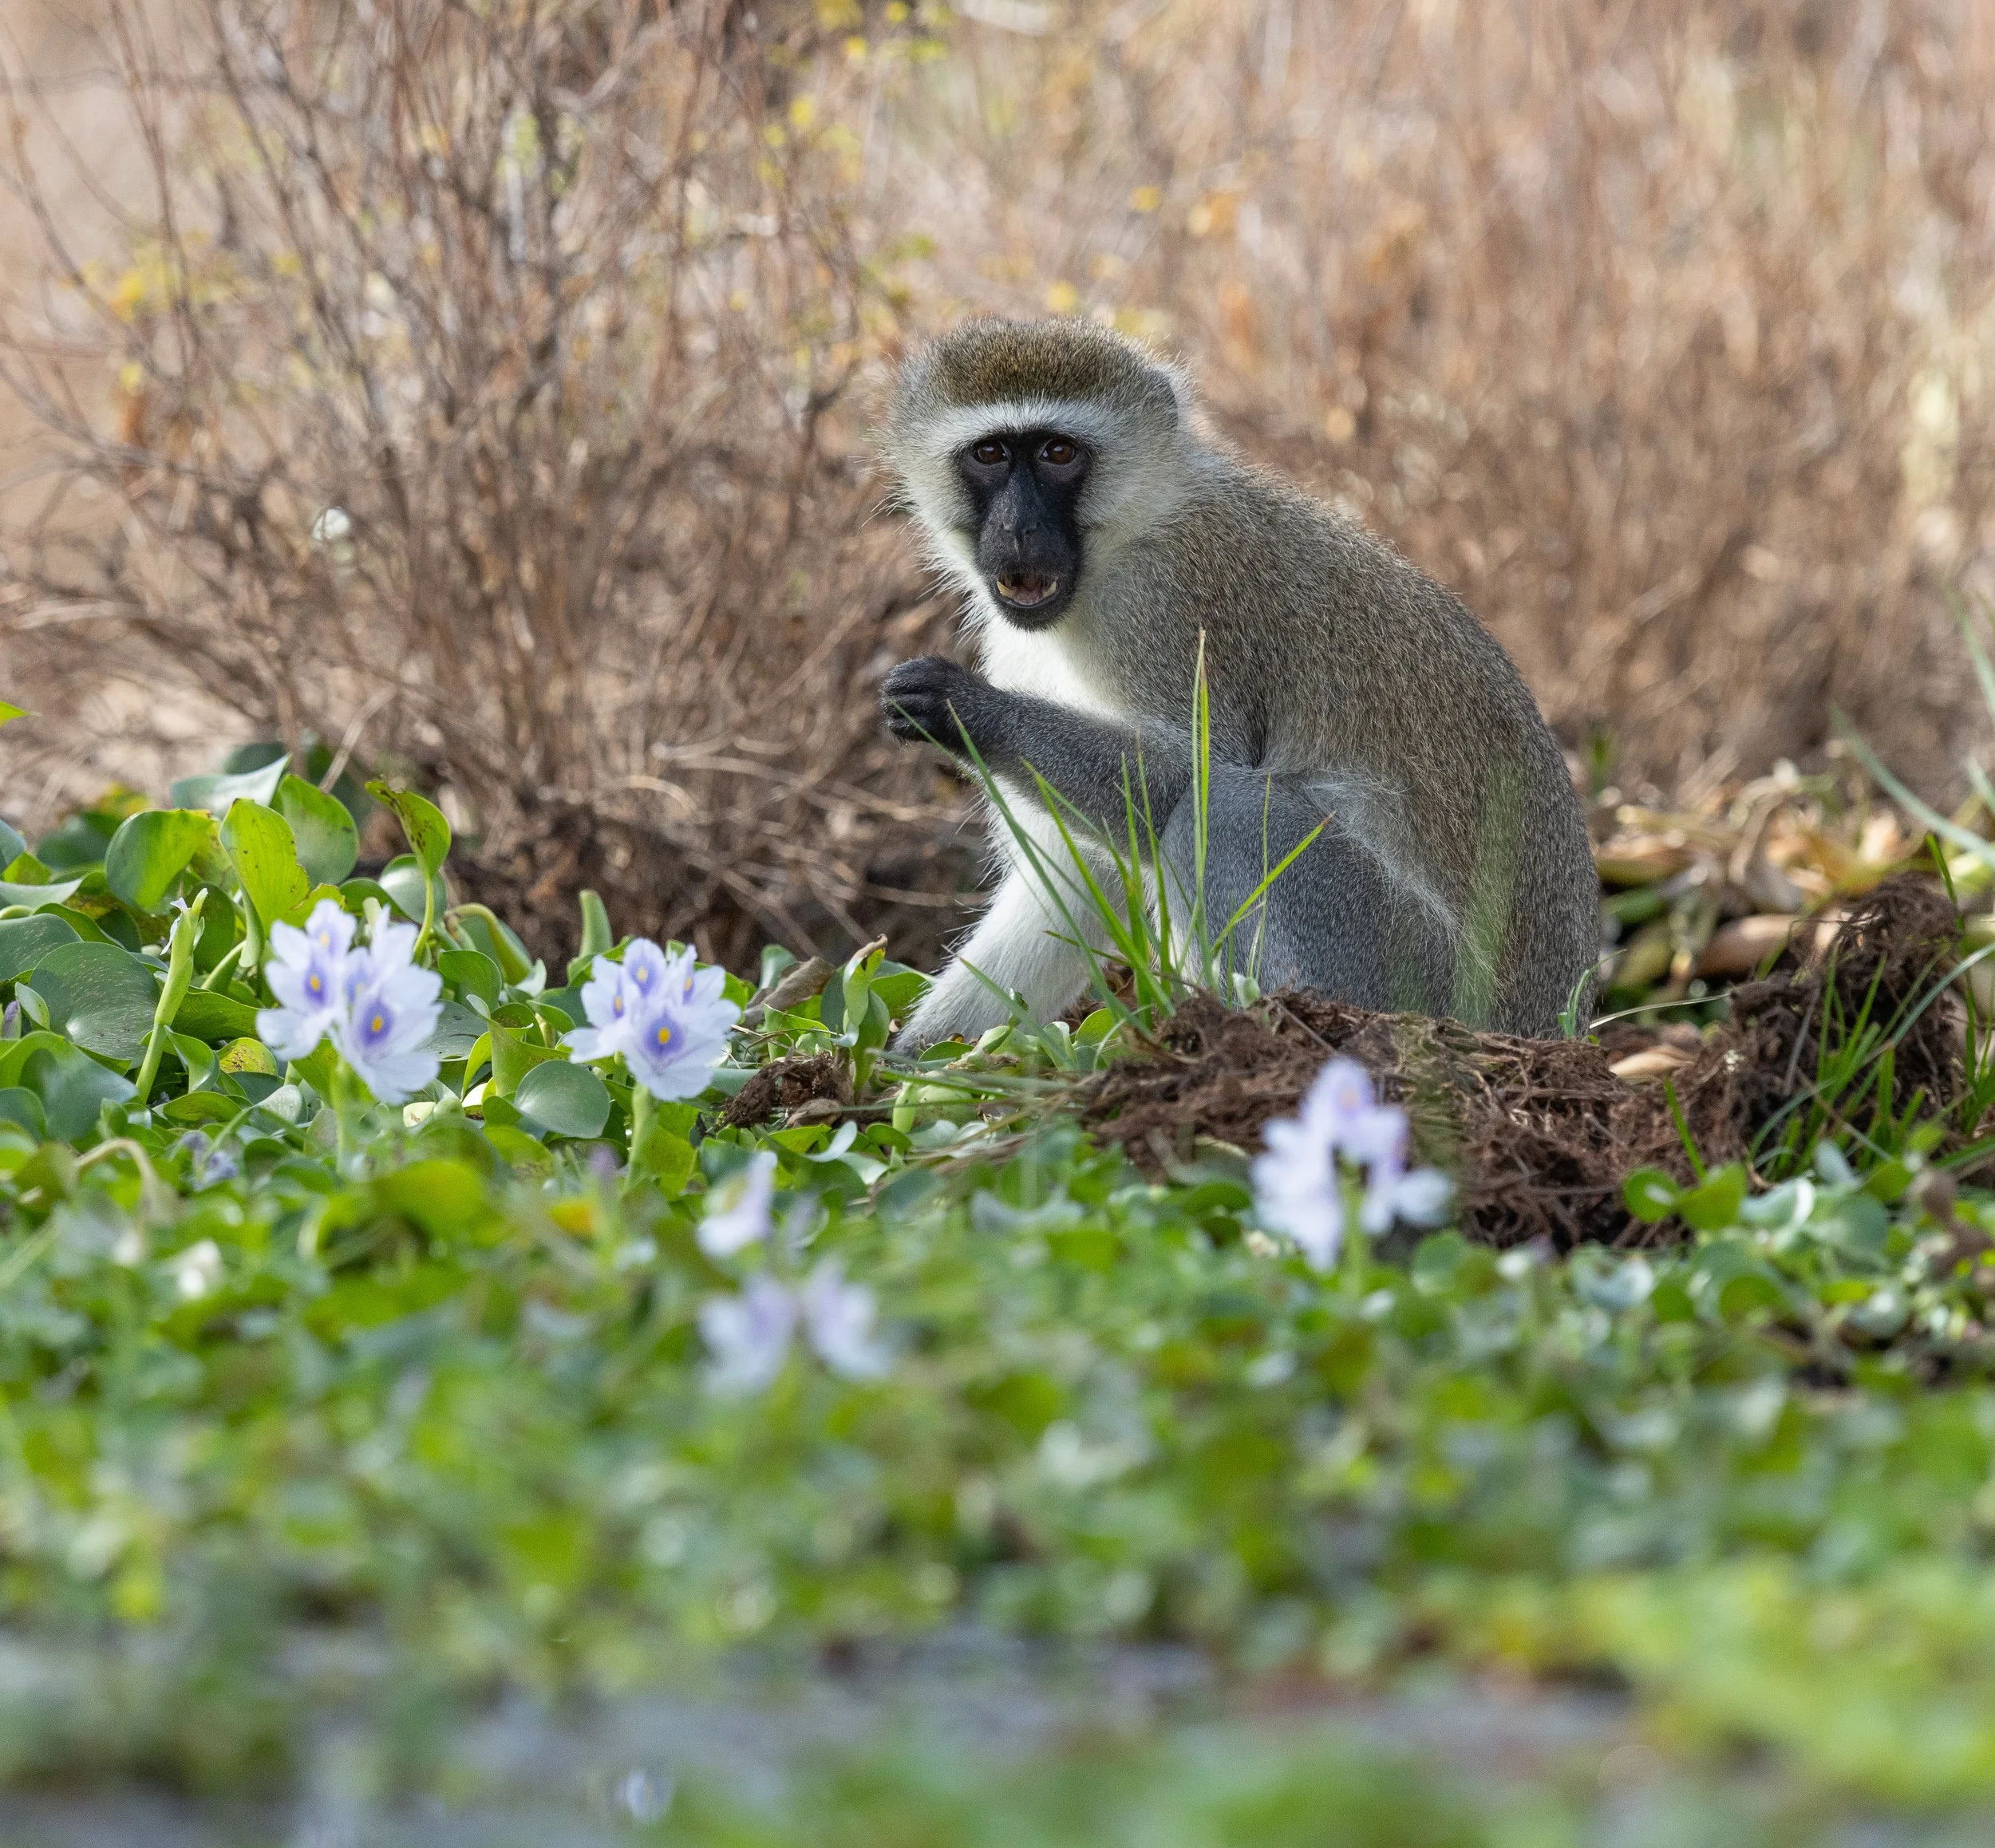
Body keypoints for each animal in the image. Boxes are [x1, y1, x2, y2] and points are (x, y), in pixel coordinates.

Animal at [876, 317, 1597, 1048]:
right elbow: (1078, 881)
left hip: (1419, 978)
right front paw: (907, 1063)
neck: (1129, 534)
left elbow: (1179, 779)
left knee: (1226, 807)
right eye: (991, 453)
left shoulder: (1166, 606)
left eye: (1057, 452)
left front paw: (965, 707)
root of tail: (1547, 1026)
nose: (1019, 528)